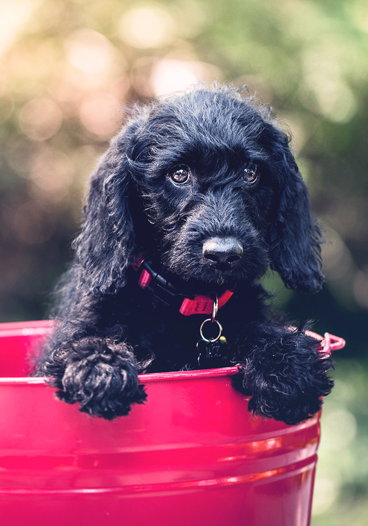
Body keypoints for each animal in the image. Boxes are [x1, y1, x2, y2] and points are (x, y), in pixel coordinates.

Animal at [35, 84, 334, 426]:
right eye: (179, 174)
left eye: (251, 173)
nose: (224, 254)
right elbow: (85, 340)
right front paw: (99, 368)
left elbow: (260, 329)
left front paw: (287, 364)